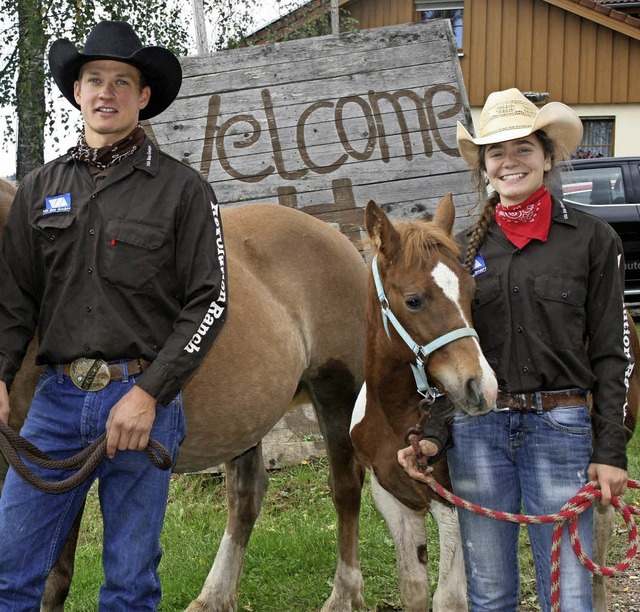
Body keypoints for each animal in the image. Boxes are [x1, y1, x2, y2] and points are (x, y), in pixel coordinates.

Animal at [1, 180, 370, 608]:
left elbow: (52, 579)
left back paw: (344, 595)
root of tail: (337, 238)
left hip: (336, 392)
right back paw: (215, 597)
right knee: (246, 497)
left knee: (346, 486)